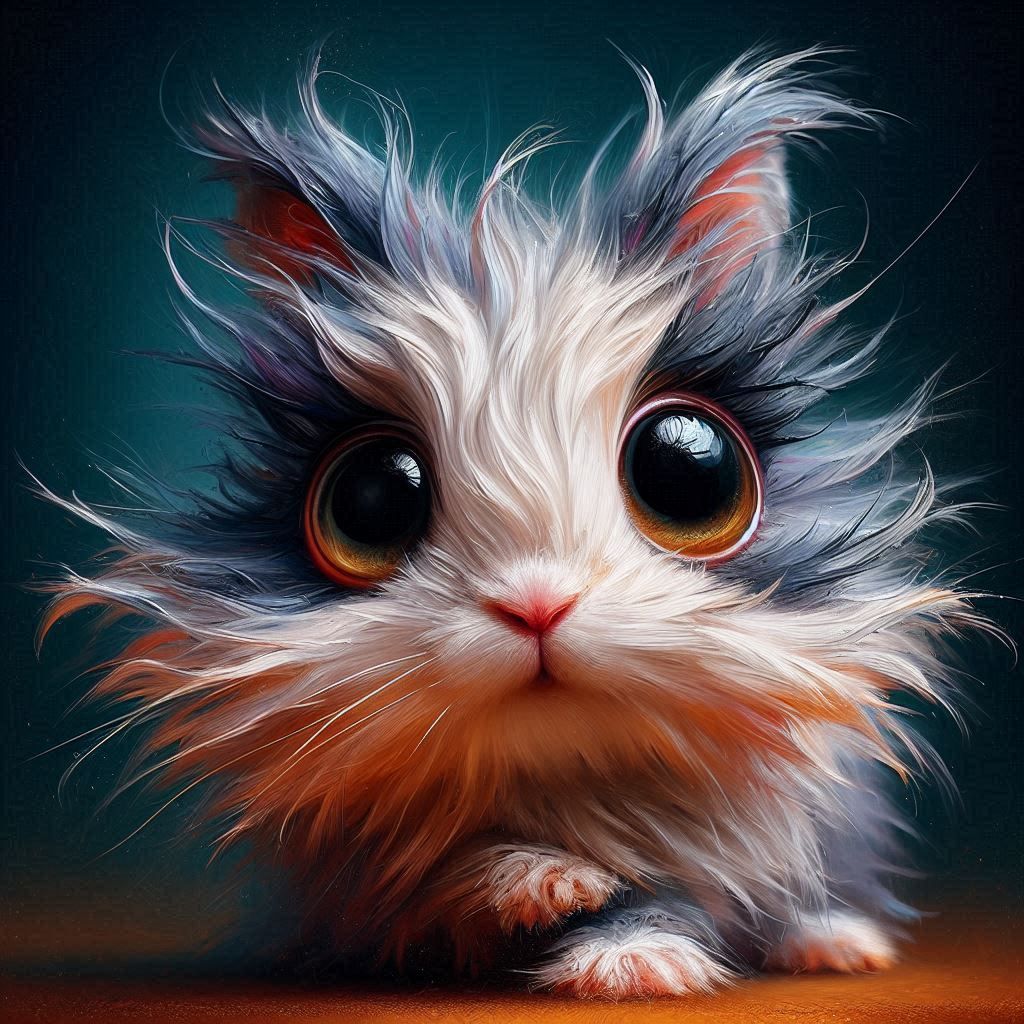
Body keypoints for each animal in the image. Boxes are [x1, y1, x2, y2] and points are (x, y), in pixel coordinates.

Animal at [37, 48, 991, 998]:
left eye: (690, 475)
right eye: (370, 499)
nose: (537, 604)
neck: (567, 785)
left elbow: (682, 896)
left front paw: (630, 963)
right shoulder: (380, 883)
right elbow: (468, 878)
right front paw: (549, 885)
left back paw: (834, 942)